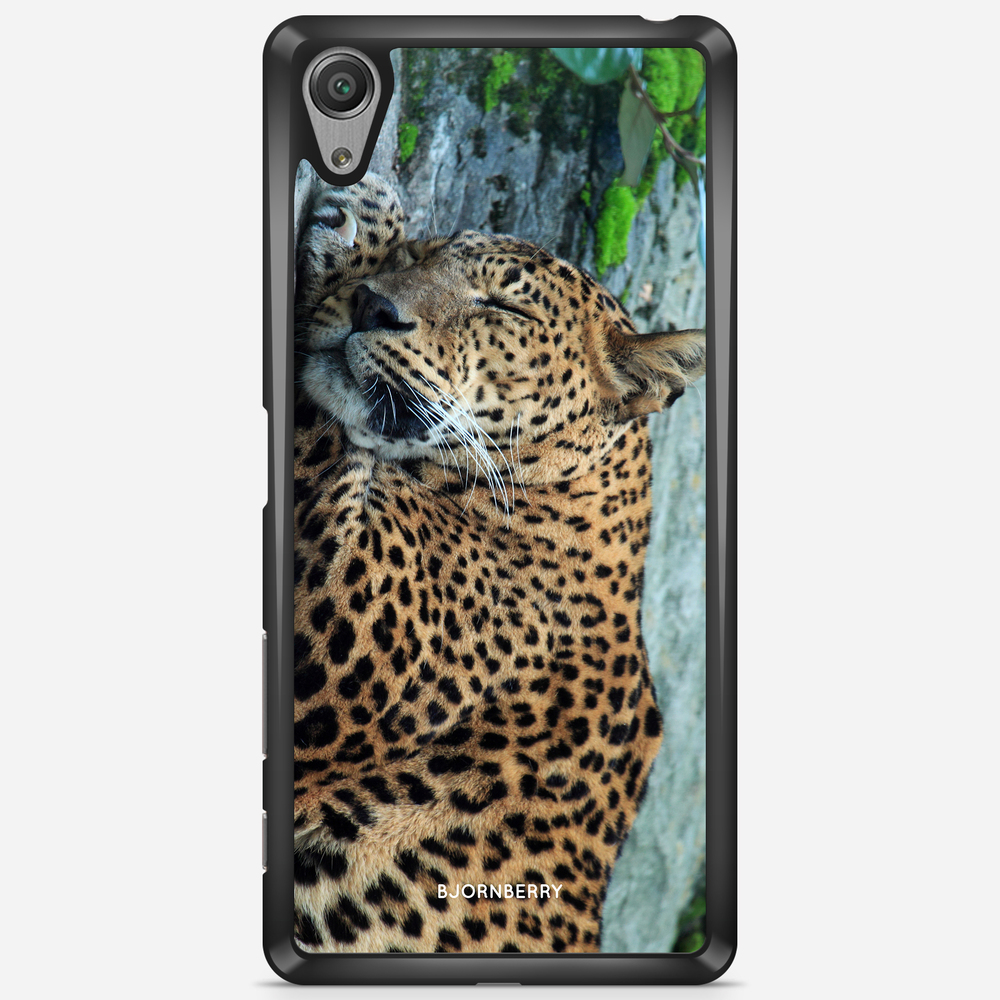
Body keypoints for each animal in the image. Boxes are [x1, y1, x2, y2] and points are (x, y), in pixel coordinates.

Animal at [291, 172, 706, 954]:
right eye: (425, 255)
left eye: (504, 307)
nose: (372, 306)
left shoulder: (343, 614)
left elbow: (318, 430)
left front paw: (361, 217)